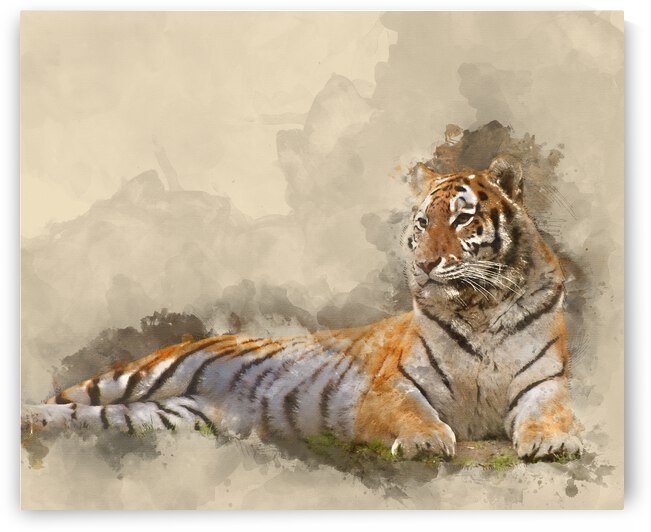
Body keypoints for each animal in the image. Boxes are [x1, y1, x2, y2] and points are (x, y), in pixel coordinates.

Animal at [21, 156, 583, 461]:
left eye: (463, 219)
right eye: (423, 223)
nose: (423, 265)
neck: (479, 308)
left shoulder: (543, 384)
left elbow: (550, 415)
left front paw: (554, 443)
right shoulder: (392, 388)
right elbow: (415, 413)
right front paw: (426, 441)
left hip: (162, 416)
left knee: (87, 417)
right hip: (141, 375)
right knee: (72, 395)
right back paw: (30, 415)